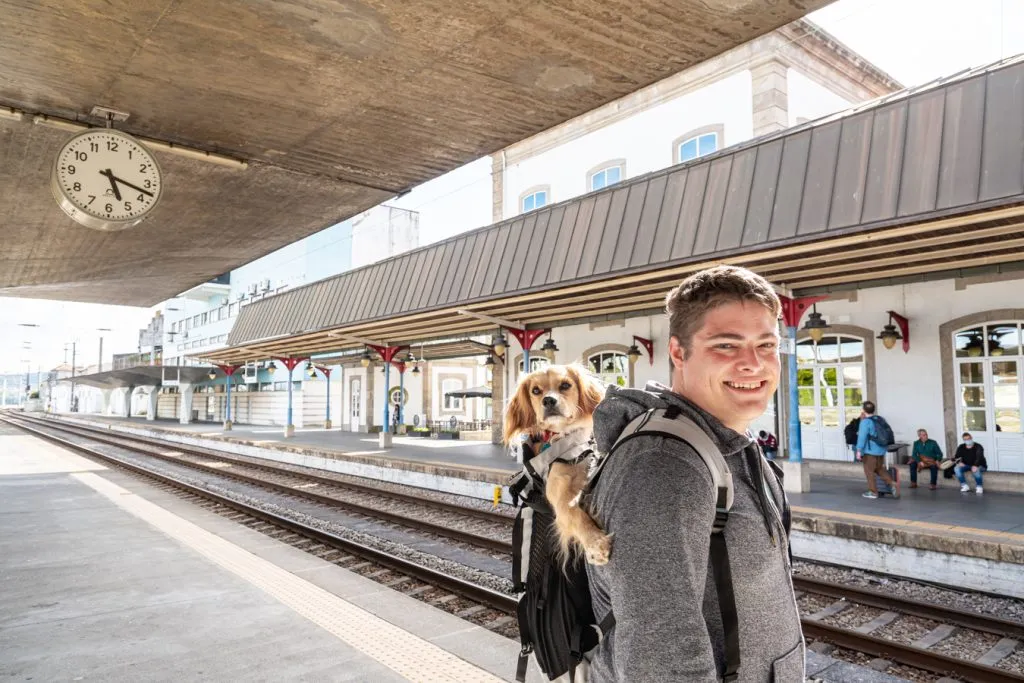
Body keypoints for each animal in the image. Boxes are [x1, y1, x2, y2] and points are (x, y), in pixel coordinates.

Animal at [501, 362, 610, 565]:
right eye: (536, 390)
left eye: (565, 385)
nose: (549, 400)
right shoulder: (559, 494)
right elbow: (574, 513)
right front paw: (595, 542)